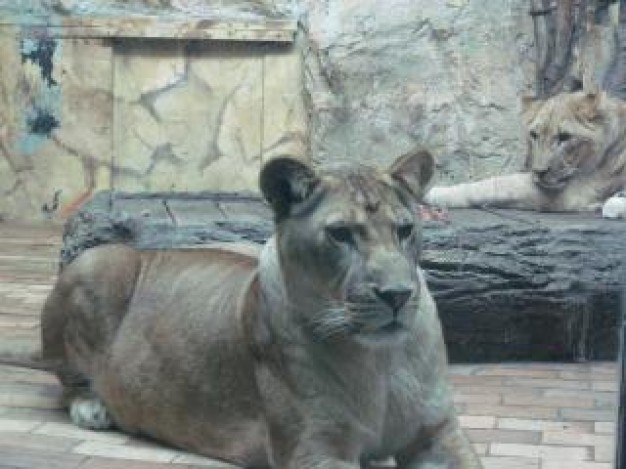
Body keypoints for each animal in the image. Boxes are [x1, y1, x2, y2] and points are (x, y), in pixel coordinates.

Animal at [15, 150, 482, 468]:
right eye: (341, 234)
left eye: (405, 230)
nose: (397, 295)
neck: (381, 362)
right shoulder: (314, 448)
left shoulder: (439, 433)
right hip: (98, 262)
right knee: (66, 375)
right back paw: (94, 408)